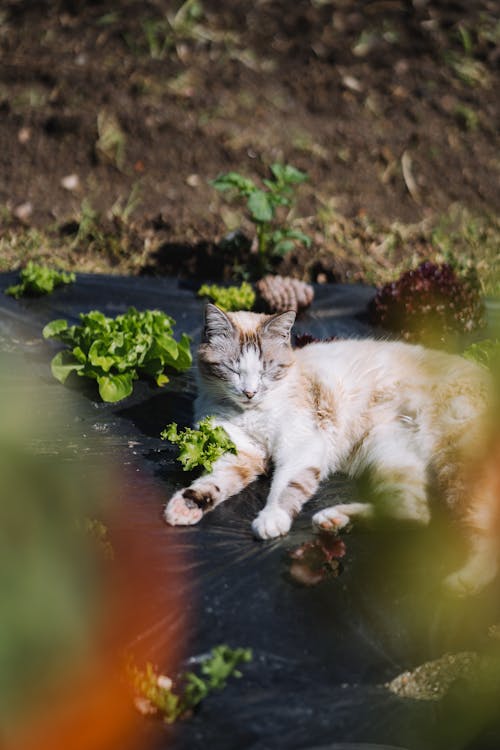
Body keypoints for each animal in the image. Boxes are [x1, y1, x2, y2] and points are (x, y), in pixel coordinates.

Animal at [166, 302, 498, 596]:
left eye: (267, 370)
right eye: (232, 369)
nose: (250, 392)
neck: (248, 411)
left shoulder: (300, 446)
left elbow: (284, 488)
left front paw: (271, 519)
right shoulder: (242, 453)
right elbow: (214, 482)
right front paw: (188, 505)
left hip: (458, 468)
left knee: (483, 535)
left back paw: (462, 584)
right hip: (390, 455)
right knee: (414, 515)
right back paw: (336, 520)